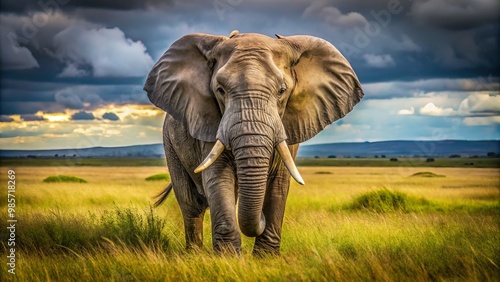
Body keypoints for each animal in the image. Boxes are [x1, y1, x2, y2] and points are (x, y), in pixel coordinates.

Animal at [145, 30, 364, 256]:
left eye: (282, 90)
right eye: (220, 90)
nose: (261, 217)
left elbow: (279, 181)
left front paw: (266, 257)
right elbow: (218, 176)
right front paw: (228, 258)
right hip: (170, 143)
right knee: (191, 203)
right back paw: (194, 254)